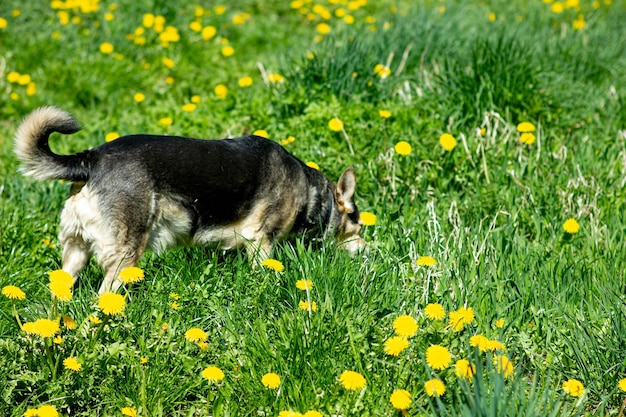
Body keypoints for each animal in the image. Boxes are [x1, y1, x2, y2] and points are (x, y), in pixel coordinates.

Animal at [13, 106, 366, 292]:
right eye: (358, 226)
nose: (368, 249)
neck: (311, 192)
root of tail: (91, 158)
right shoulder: (262, 242)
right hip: (125, 256)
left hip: (75, 252)